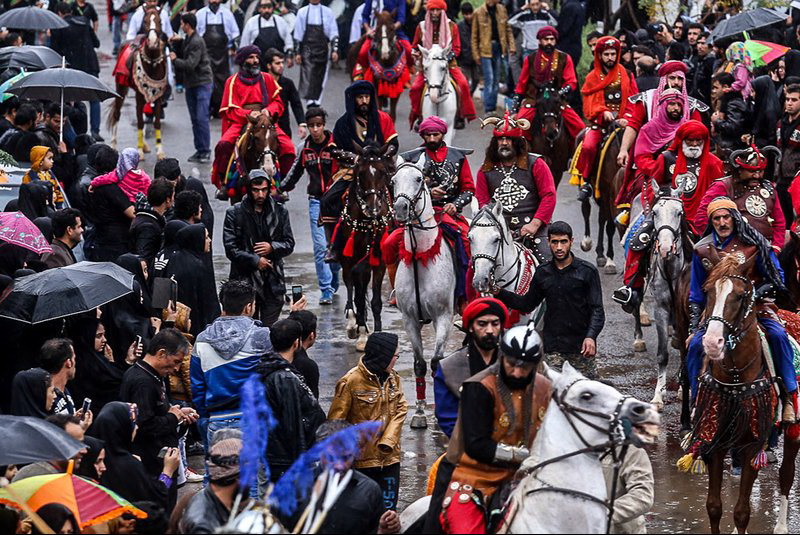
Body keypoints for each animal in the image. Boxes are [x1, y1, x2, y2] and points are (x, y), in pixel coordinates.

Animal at [108, 6, 168, 159]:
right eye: (145, 21)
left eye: (160, 21)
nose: (152, 42)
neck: (152, 63)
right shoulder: (139, 95)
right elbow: (140, 121)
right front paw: (139, 151)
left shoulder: (158, 96)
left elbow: (156, 122)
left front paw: (160, 151)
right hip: (121, 87)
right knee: (118, 113)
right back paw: (113, 145)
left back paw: (145, 145)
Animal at [336, 141, 396, 352]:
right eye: (360, 173)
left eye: (382, 172)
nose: (374, 208)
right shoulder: (351, 258)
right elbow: (358, 295)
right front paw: (361, 332)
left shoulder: (379, 261)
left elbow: (375, 301)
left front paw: (376, 332)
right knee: (350, 285)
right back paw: (352, 323)